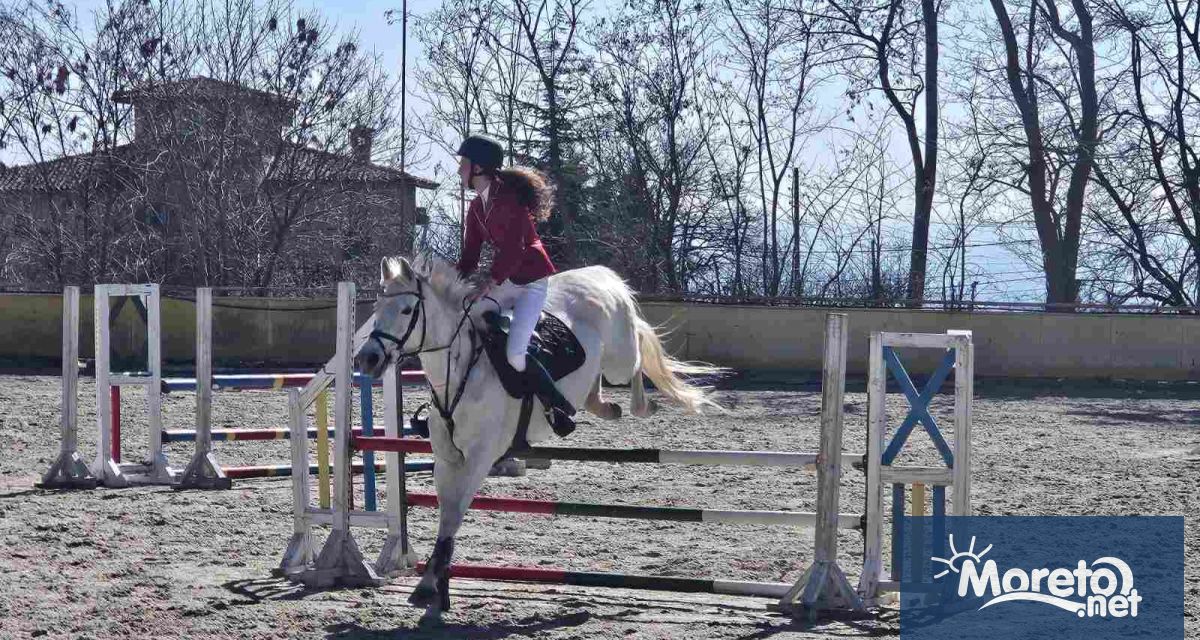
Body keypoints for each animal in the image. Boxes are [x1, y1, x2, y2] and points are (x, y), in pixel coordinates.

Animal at [350, 253, 720, 609]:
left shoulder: (478, 459)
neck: (459, 372)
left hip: (619, 356)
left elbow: (454, 516)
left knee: (638, 352)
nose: (367, 359)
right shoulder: (447, 460)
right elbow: (447, 515)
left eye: (406, 310)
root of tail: (600, 274)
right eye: (377, 309)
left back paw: (642, 406)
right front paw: (436, 585)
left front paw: (429, 586)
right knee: (596, 382)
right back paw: (597, 407)